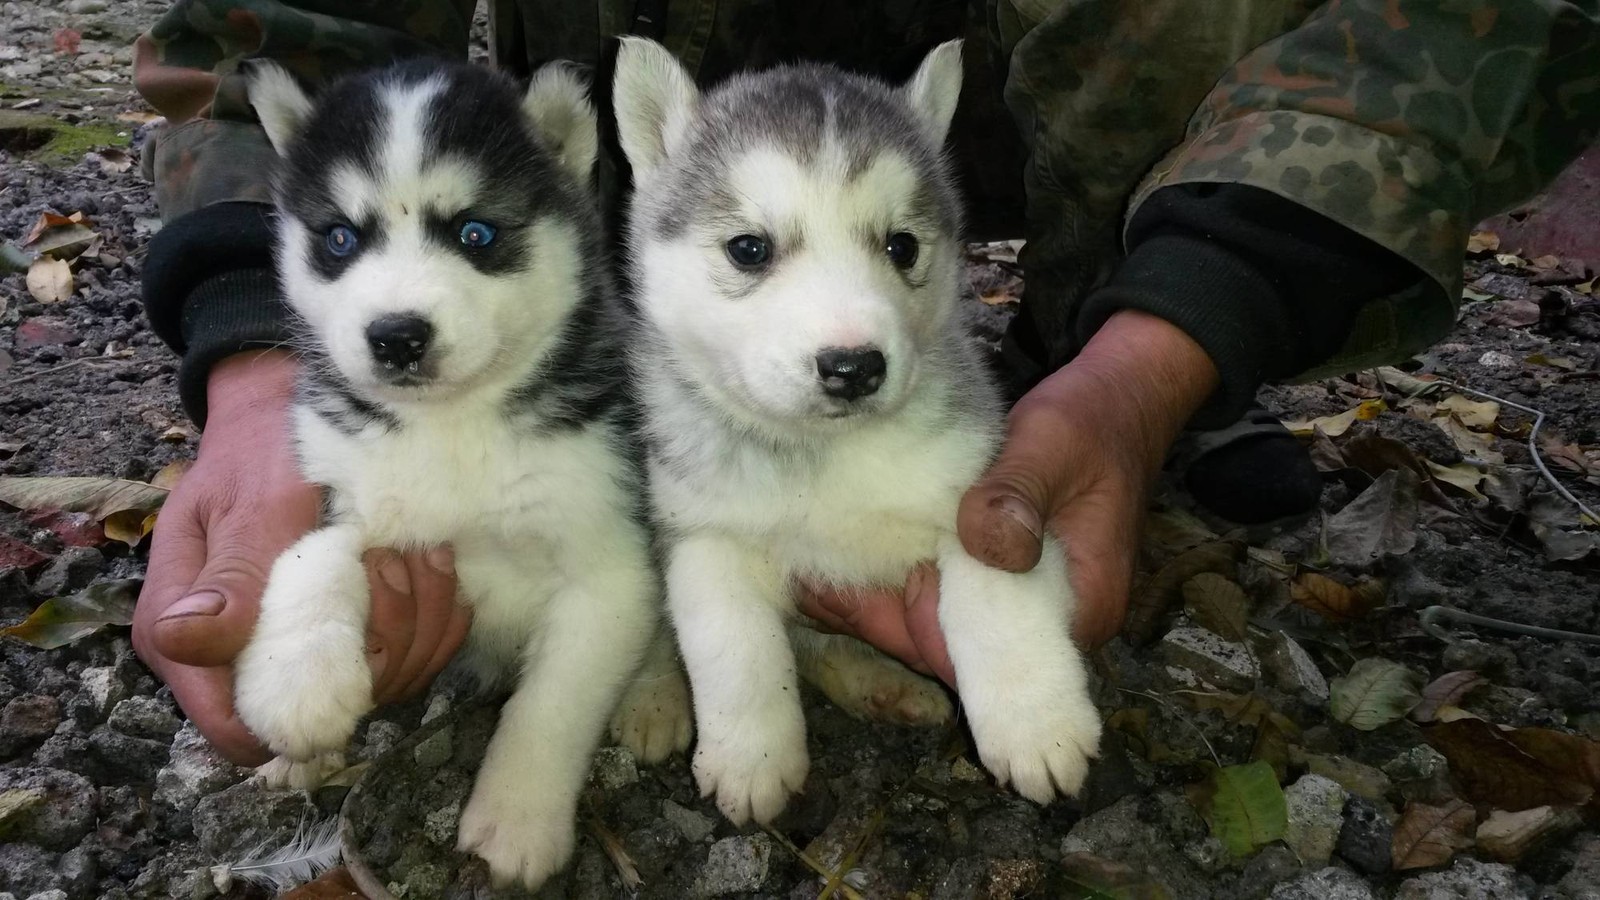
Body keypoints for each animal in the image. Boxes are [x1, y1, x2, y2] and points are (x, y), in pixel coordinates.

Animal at [611, 38, 1100, 826]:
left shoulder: (977, 497)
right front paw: (750, 757)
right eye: (748, 249)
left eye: (902, 247)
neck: (827, 456)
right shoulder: (705, 535)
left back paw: (885, 683)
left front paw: (1035, 723)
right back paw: (652, 697)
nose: (853, 367)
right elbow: (733, 646)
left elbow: (992, 598)